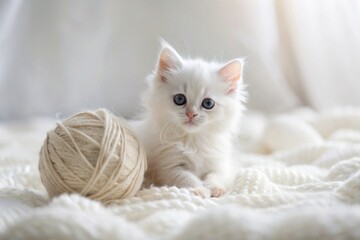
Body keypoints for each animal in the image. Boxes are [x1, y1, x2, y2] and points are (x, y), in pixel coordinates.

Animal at [134, 42, 246, 198]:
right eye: (180, 99)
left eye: (208, 103)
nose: (191, 114)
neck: (193, 140)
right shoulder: (168, 167)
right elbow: (188, 178)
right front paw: (200, 190)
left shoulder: (221, 164)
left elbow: (216, 176)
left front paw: (215, 188)